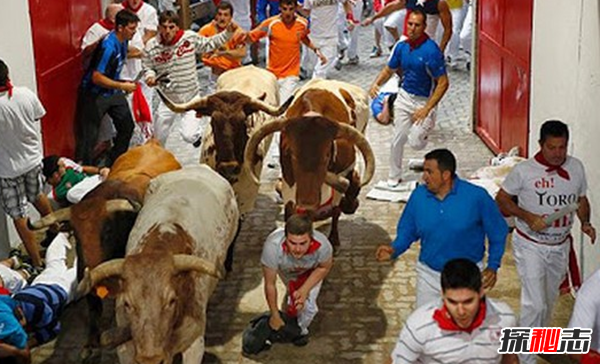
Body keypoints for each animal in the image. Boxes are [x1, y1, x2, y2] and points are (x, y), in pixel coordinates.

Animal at [244, 80, 376, 249]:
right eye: (292, 154)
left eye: (327, 155)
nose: (308, 201)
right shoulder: (289, 184)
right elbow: (291, 212)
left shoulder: (345, 172)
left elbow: (337, 207)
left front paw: (333, 238)